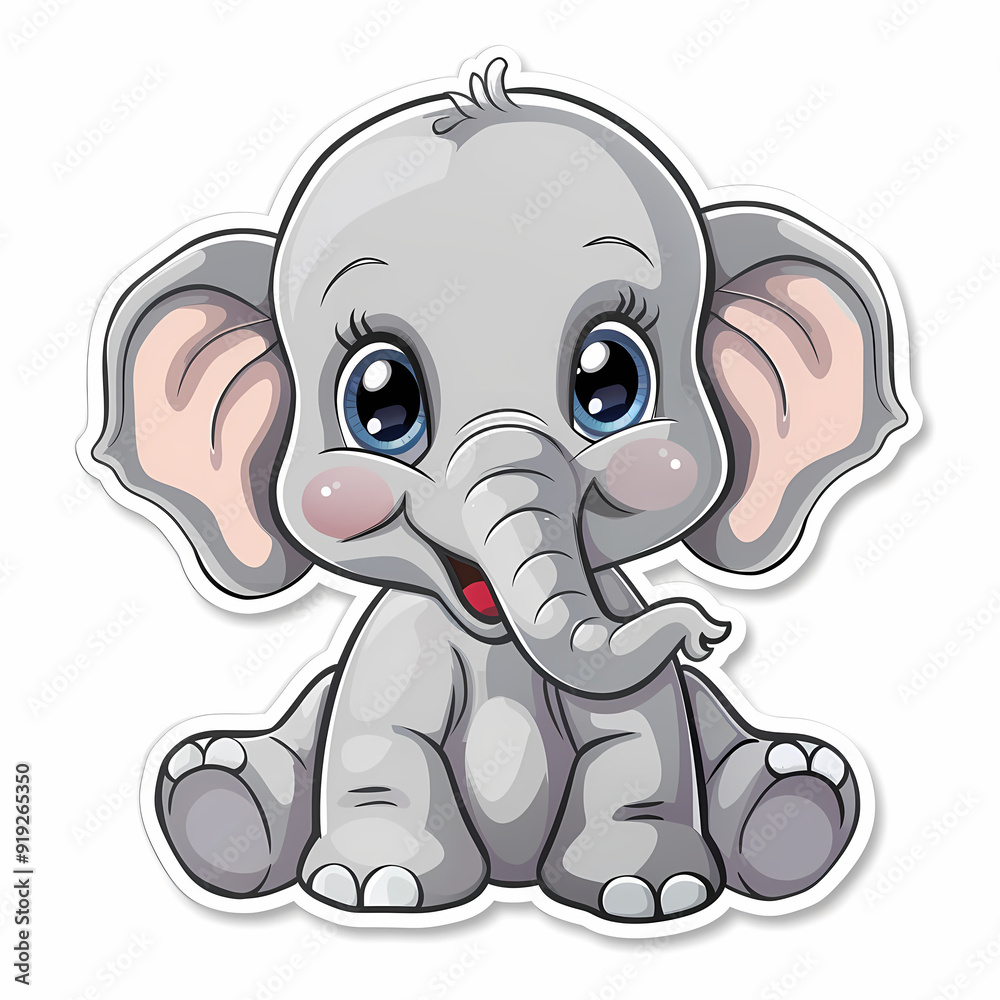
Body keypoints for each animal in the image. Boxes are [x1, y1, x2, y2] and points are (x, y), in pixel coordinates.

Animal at [82, 50, 916, 934]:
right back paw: (218, 787)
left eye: (610, 383)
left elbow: (638, 751)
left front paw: (645, 891)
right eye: (381, 402)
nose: (706, 630)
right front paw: (378, 885)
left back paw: (794, 792)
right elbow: (382, 747)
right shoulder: (394, 653)